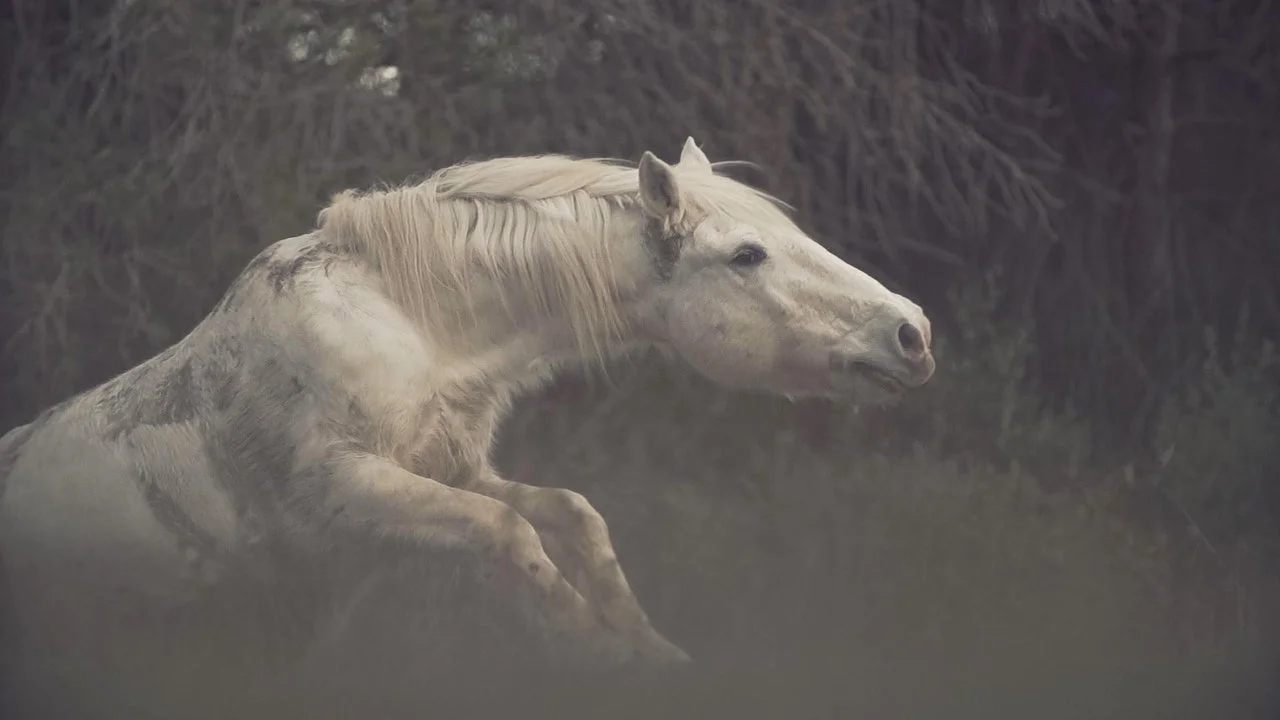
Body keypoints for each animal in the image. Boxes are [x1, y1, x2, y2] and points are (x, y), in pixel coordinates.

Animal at [0, 135, 931, 712]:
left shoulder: (450, 470)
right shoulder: (350, 492)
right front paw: (598, 653)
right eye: (746, 254)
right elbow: (509, 533)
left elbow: (572, 516)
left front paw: (656, 654)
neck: (408, 323)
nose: (912, 332)